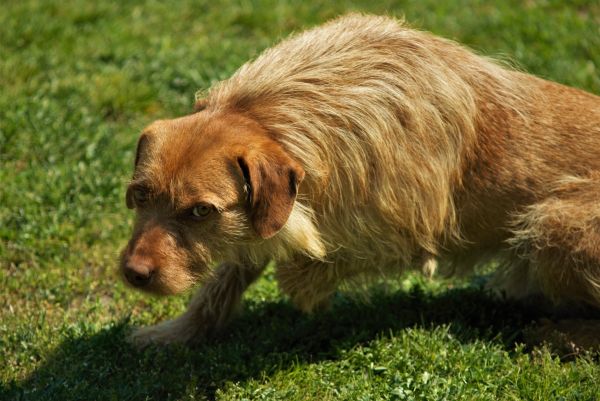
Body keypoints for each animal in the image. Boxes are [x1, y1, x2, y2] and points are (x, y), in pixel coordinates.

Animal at [119, 14, 600, 346]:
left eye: (201, 211)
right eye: (140, 195)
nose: (134, 273)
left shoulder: (406, 232)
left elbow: (314, 258)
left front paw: (303, 279)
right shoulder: (264, 217)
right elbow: (226, 277)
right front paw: (178, 332)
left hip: (554, 226)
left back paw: (566, 335)